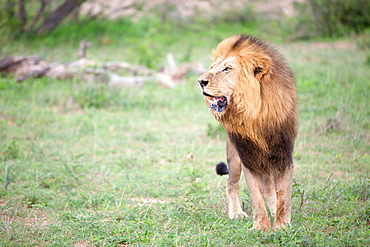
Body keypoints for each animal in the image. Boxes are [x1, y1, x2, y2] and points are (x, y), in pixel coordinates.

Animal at [197, 33, 298, 231]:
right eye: (212, 68)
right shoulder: (248, 156)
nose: (201, 81)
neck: (257, 114)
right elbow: (256, 196)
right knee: (231, 183)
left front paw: (281, 225)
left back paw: (273, 210)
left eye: (227, 69)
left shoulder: (283, 154)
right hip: (234, 158)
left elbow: (284, 195)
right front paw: (261, 227)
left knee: (269, 186)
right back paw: (236, 212)